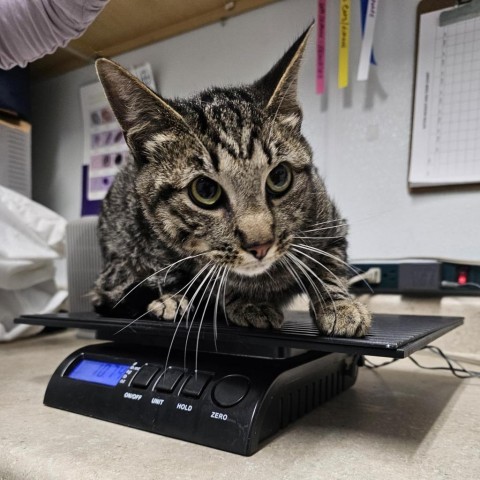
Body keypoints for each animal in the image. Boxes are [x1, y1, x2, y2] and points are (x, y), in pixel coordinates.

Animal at [92, 23, 374, 338]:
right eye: (205, 190)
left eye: (279, 177)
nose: (260, 245)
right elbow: (213, 282)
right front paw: (245, 302)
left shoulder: (332, 223)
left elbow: (330, 265)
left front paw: (339, 304)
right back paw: (171, 300)